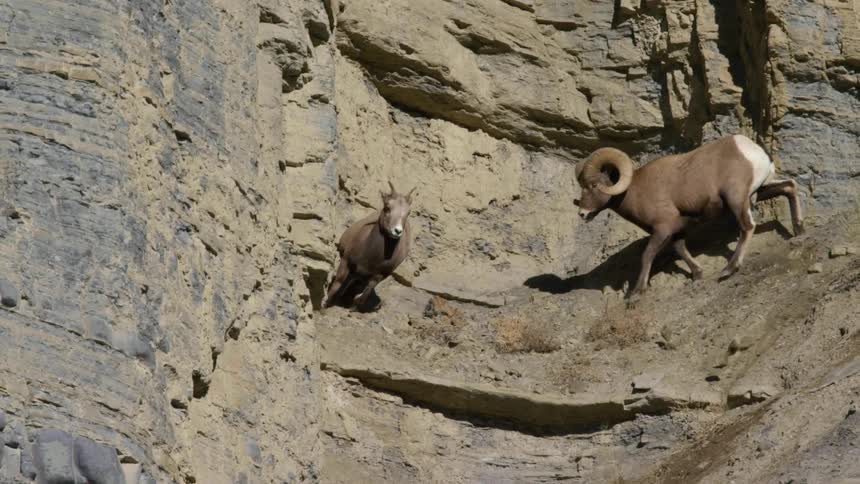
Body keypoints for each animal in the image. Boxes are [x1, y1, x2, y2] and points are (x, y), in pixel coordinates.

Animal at [574, 134, 804, 303]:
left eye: (593, 185)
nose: (582, 213)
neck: (634, 191)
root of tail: (751, 149)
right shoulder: (677, 231)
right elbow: (681, 249)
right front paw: (697, 274)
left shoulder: (662, 229)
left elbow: (647, 255)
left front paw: (636, 294)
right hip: (761, 189)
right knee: (789, 187)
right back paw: (799, 230)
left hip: (736, 199)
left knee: (747, 226)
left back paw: (728, 270)